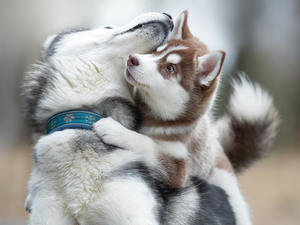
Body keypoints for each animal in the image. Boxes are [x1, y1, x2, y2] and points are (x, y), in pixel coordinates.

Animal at [93, 10, 278, 225]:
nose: (132, 59)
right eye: (158, 51)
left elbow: (147, 144)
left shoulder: (179, 170)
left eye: (170, 69)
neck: (157, 118)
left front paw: (114, 130)